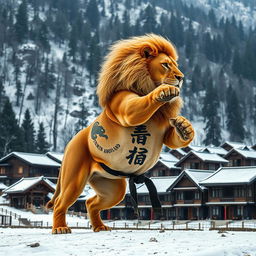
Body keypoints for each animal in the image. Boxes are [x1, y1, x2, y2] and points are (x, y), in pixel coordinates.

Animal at [46, 34, 194, 234]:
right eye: (165, 65)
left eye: (175, 65)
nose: (181, 77)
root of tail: (70, 143)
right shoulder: (124, 104)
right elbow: (138, 105)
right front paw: (164, 91)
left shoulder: (165, 130)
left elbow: (174, 139)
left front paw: (184, 127)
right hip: (74, 178)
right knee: (60, 202)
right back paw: (60, 227)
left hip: (113, 189)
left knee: (91, 203)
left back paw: (100, 227)